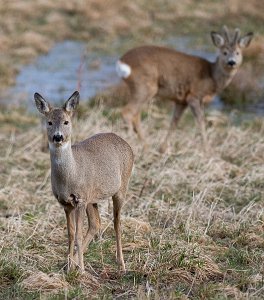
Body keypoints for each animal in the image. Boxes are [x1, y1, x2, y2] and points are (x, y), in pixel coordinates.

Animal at [34, 91, 134, 272]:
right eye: (49, 122)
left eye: (66, 122)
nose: (58, 137)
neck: (70, 175)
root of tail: (124, 141)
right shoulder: (66, 203)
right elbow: (71, 234)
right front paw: (69, 267)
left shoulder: (80, 199)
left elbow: (78, 235)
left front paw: (80, 270)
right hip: (92, 198)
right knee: (96, 223)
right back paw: (73, 262)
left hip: (121, 186)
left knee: (117, 223)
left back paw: (121, 264)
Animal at [115, 25, 254, 152]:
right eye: (224, 52)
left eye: (238, 53)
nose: (231, 62)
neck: (212, 76)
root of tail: (122, 61)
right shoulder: (194, 96)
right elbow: (201, 122)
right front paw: (207, 151)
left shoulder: (181, 101)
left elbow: (174, 122)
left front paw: (163, 148)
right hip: (145, 86)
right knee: (127, 112)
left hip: (139, 89)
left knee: (136, 115)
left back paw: (146, 146)